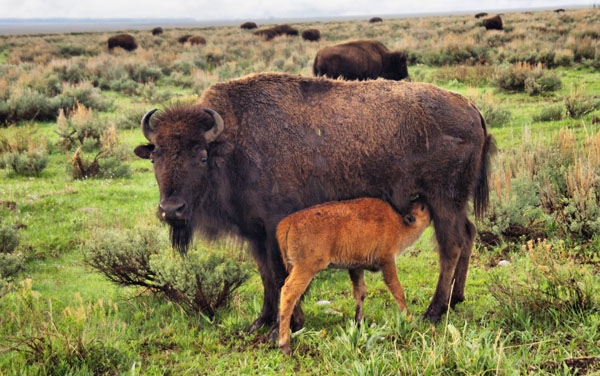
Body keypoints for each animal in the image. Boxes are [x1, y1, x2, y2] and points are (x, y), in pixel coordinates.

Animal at [134, 71, 494, 338]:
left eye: (201, 156)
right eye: (155, 156)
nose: (171, 210)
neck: (233, 142)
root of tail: (471, 108)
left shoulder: (275, 226)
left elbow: (281, 275)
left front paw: (287, 325)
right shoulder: (255, 233)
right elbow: (266, 275)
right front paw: (260, 322)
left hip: (443, 199)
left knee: (451, 244)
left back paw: (433, 311)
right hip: (453, 202)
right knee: (468, 234)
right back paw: (456, 299)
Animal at [276, 198, 432, 354]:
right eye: (422, 208)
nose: (426, 203)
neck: (399, 223)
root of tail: (288, 222)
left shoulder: (356, 267)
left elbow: (360, 292)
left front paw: (359, 322)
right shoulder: (387, 261)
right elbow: (397, 290)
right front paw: (411, 322)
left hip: (294, 267)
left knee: (291, 290)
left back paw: (298, 323)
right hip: (306, 268)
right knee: (289, 292)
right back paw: (285, 345)